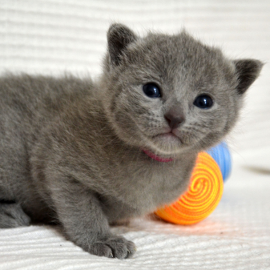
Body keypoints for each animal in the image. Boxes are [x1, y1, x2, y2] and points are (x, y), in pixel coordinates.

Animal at [0, 23, 262, 260]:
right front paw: (102, 239)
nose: (175, 117)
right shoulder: (59, 162)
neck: (153, 165)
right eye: (151, 90)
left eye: (204, 101)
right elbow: (83, 209)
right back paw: (10, 214)